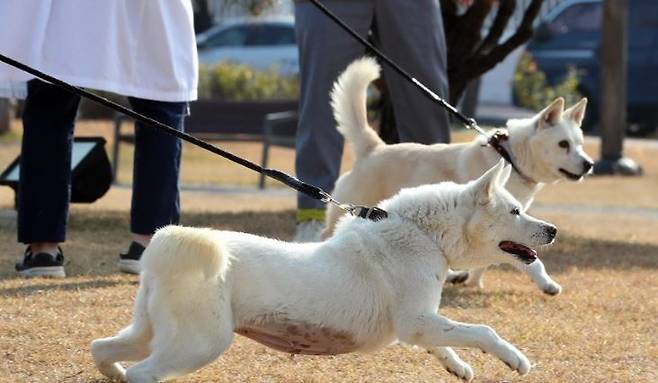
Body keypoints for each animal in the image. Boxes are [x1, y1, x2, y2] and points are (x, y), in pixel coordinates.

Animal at [91, 160, 552, 382]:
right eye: (515, 210)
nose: (552, 230)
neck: (420, 234)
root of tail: (163, 247)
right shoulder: (416, 321)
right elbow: (482, 331)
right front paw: (516, 360)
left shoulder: (420, 324)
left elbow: (446, 342)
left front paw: (457, 367)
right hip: (200, 343)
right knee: (141, 373)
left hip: (151, 334)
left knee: (101, 349)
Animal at [320, 57, 592, 296]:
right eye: (563, 144)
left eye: (579, 143)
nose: (589, 164)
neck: (511, 156)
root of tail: (373, 148)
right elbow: (530, 260)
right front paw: (547, 284)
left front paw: (472, 282)